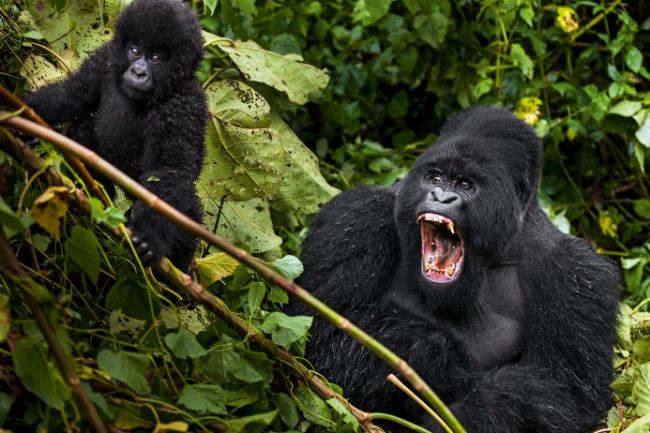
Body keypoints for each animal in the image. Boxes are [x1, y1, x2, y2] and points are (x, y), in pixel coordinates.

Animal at [294, 106, 616, 430]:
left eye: (464, 184)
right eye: (435, 177)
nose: (441, 196)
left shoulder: (577, 272)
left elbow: (565, 391)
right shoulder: (355, 216)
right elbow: (320, 332)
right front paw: (432, 354)